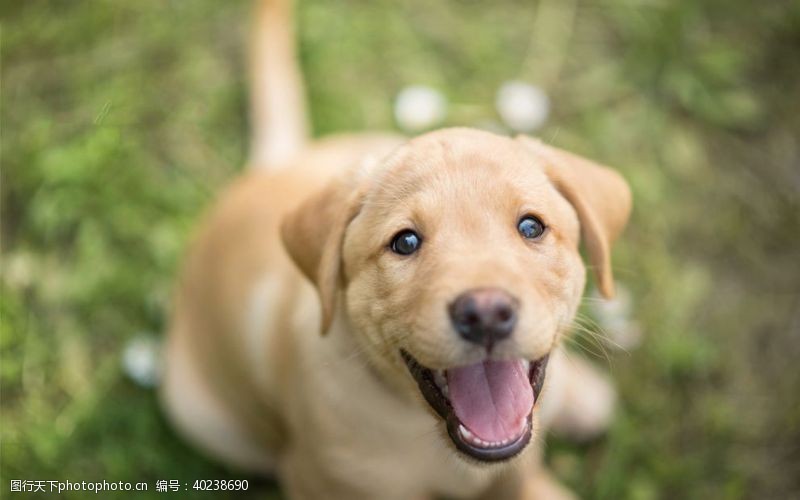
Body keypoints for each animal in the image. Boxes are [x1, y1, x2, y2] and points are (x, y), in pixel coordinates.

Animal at [162, 0, 636, 500]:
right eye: (405, 242)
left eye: (531, 227)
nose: (485, 313)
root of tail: (274, 164)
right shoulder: (316, 477)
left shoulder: (518, 469)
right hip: (200, 415)